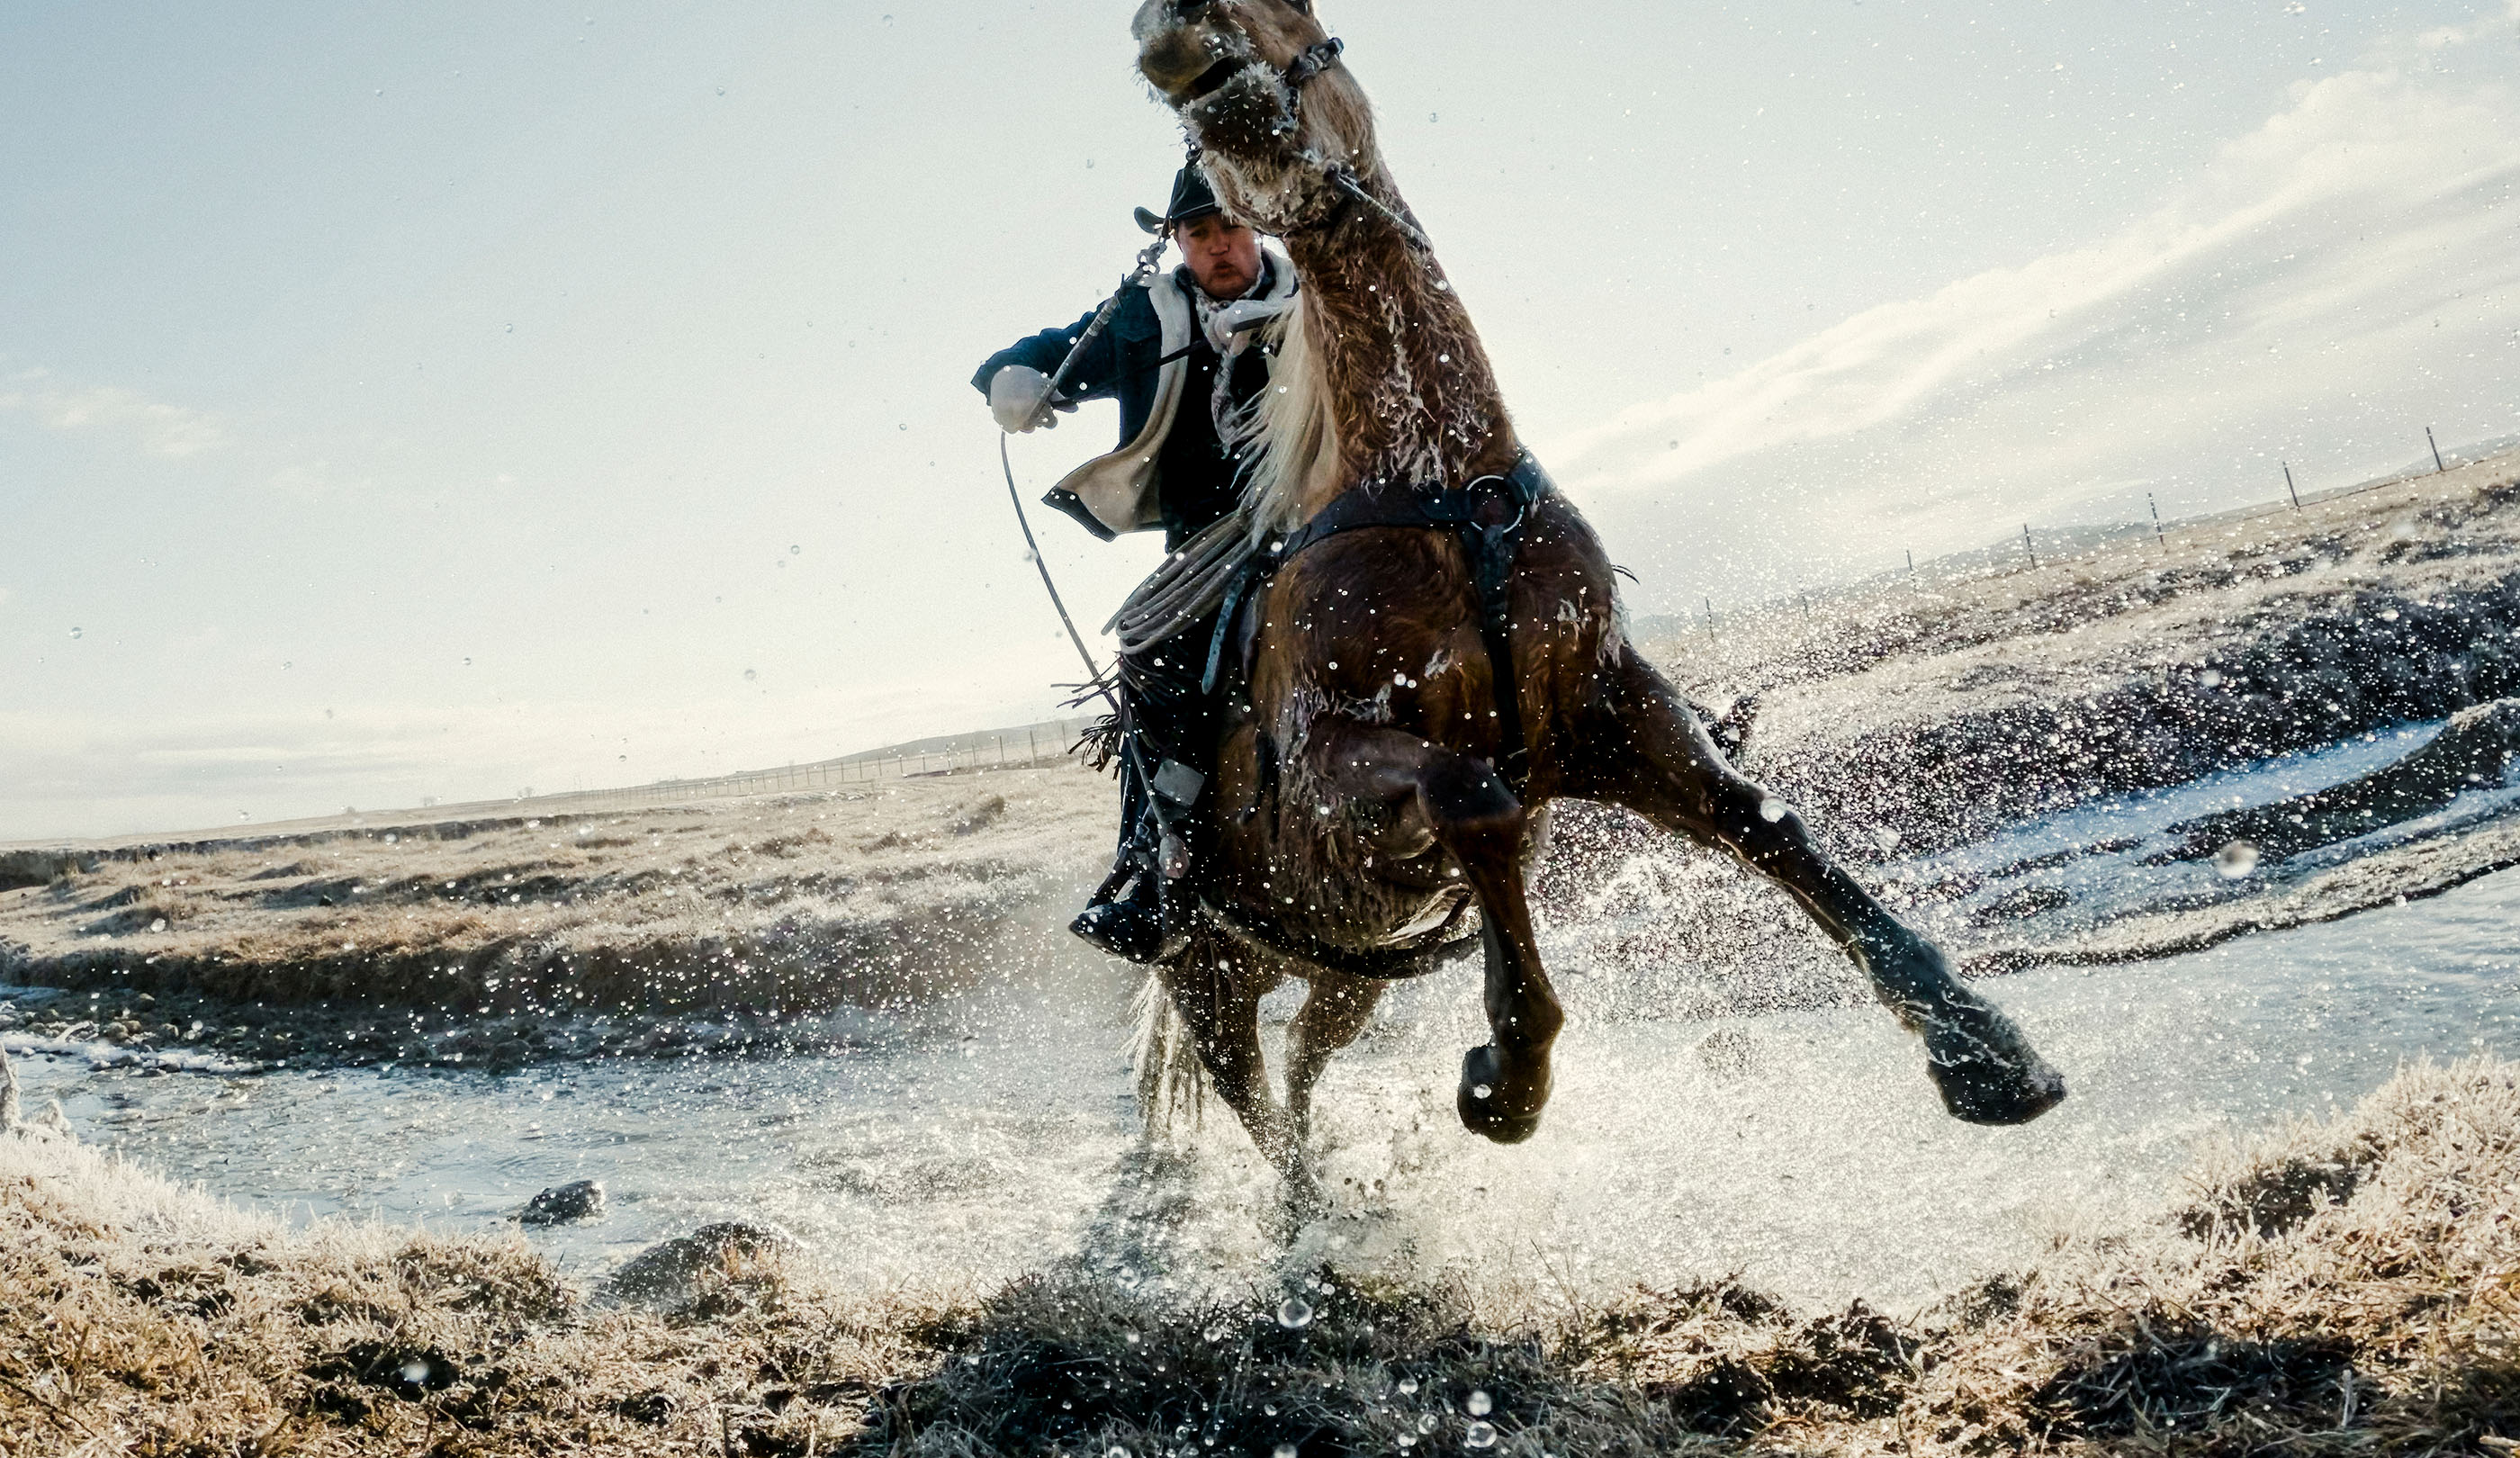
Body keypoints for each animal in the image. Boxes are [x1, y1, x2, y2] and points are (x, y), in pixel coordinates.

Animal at [1122, 0, 2064, 1222]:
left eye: (1305, 16)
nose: (1177, 44)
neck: (1444, 481)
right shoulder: (1335, 763)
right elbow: (1472, 800)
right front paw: (1503, 1083)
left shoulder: (1604, 710)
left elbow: (1766, 826)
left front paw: (1985, 1053)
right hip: (1211, 978)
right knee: (1260, 1108)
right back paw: (1311, 1223)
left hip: (1338, 972)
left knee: (1302, 1064)